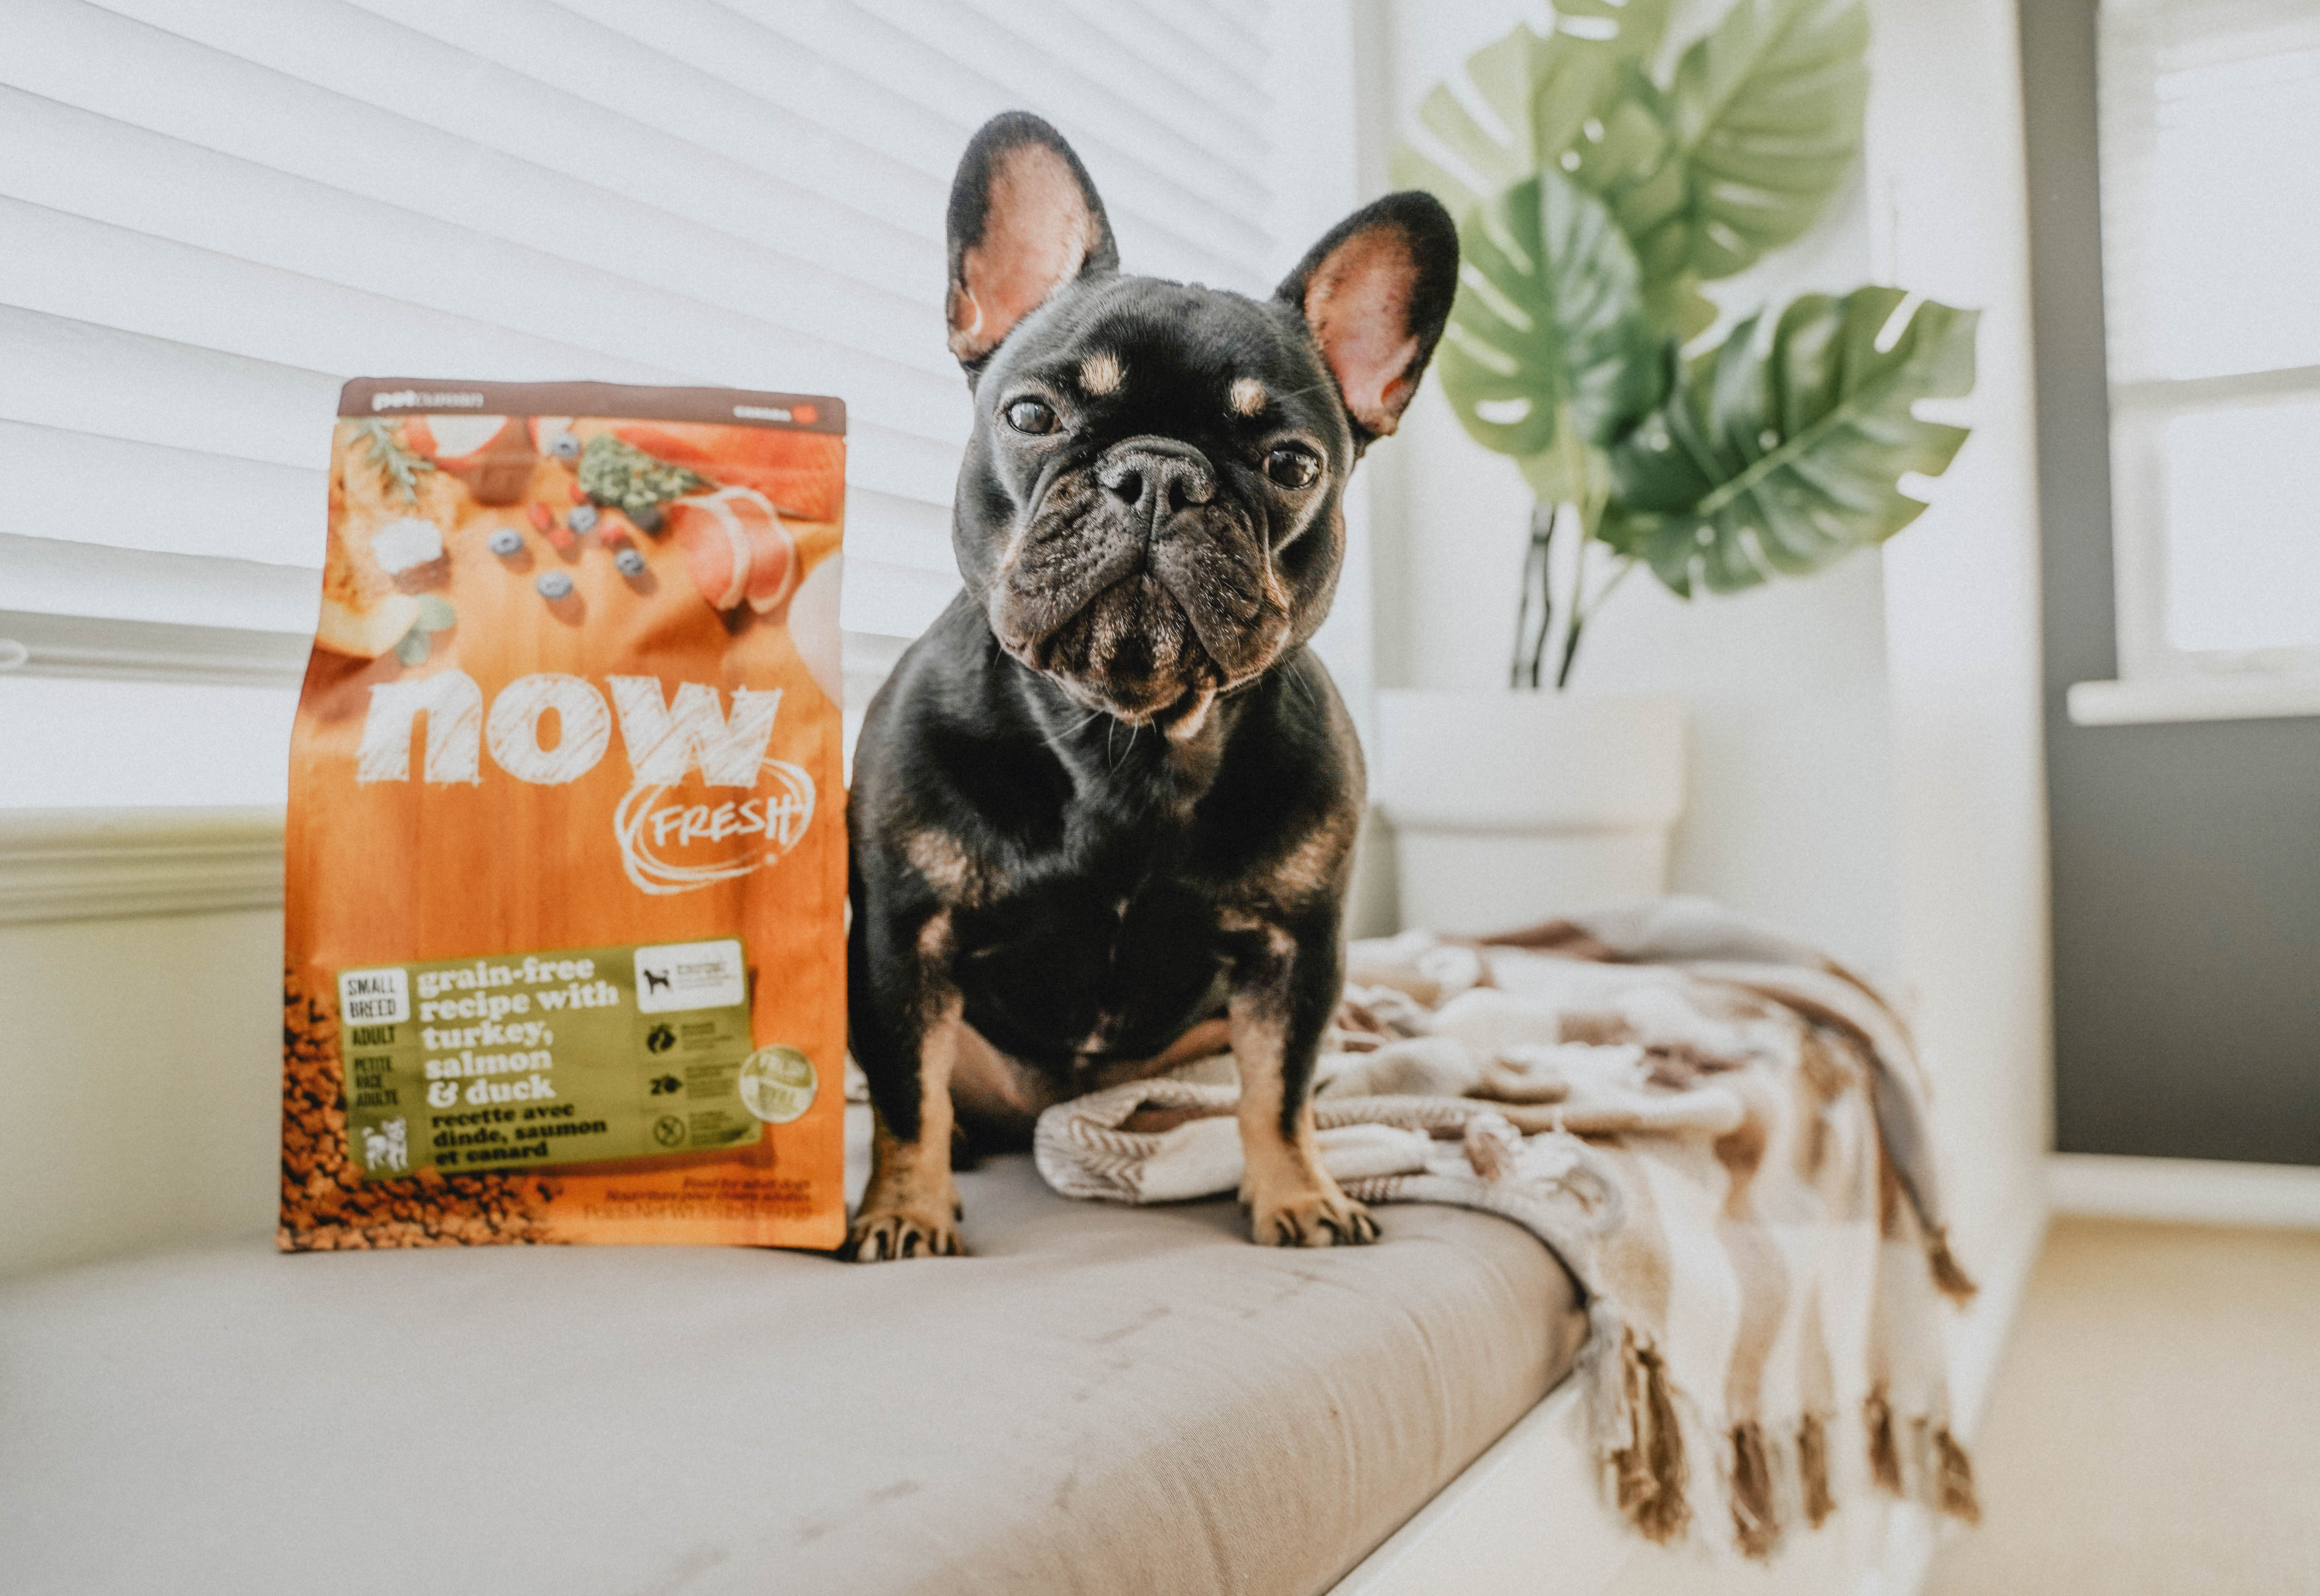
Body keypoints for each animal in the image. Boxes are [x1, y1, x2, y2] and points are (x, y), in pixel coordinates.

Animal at [844, 112, 1457, 1262]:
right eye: (1031, 413)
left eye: (1293, 464)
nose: (1161, 473)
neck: (1122, 735)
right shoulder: (906, 934)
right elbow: (905, 1088)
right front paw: (902, 1207)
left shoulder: (1295, 954)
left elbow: (1279, 1089)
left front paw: (1296, 1190)